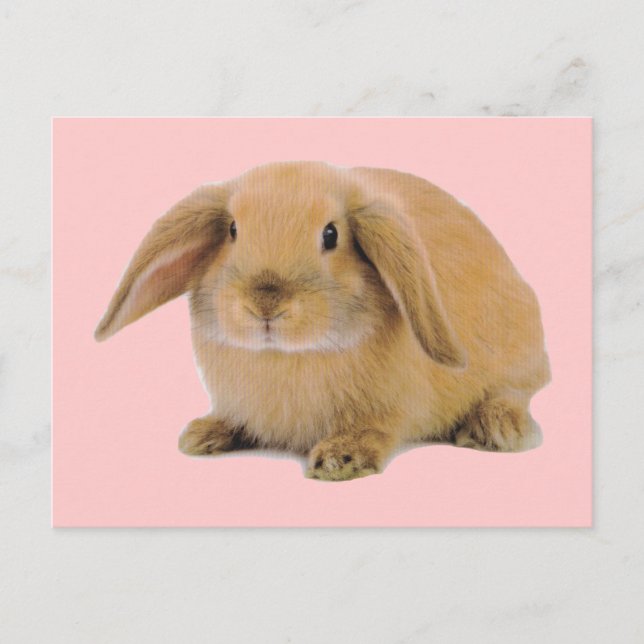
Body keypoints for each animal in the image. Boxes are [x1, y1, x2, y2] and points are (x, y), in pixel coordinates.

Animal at [95, 161, 550, 481]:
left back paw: (494, 429)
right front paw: (204, 434)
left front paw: (340, 459)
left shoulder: (392, 408)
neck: (287, 355)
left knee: (517, 389)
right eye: (232, 230)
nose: (265, 304)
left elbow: (376, 428)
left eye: (331, 235)